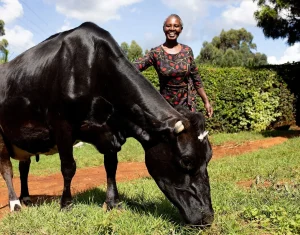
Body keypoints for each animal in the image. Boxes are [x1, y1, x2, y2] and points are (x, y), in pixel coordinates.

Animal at [0, 22, 213, 226]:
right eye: (186, 160)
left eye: (209, 157)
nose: (208, 217)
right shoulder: (62, 124)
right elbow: (68, 167)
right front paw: (65, 204)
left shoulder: (111, 131)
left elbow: (111, 166)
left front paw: (113, 202)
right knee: (7, 169)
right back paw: (15, 203)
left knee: (24, 167)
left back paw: (26, 198)